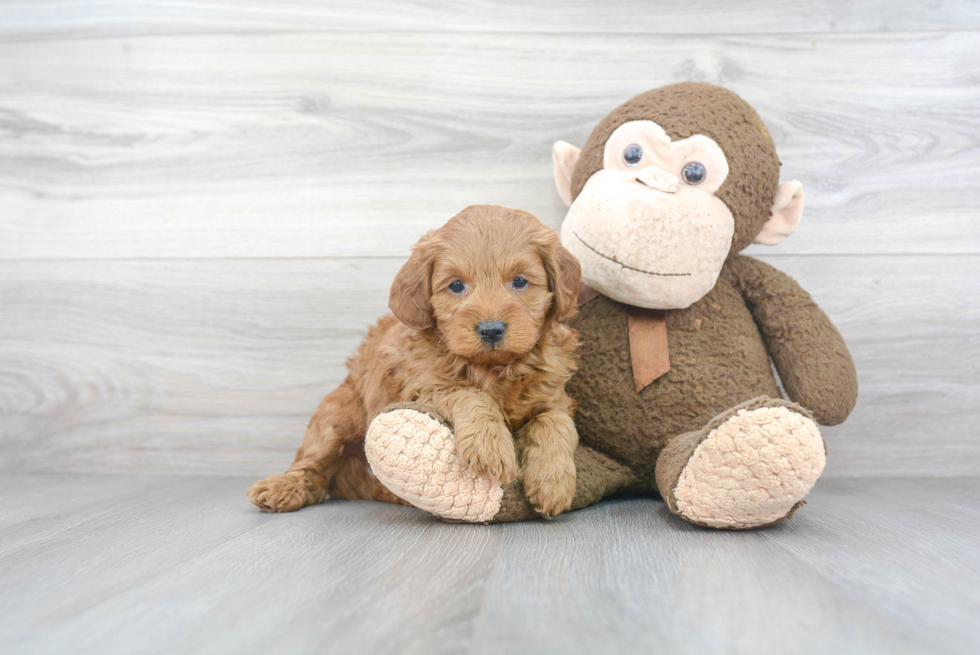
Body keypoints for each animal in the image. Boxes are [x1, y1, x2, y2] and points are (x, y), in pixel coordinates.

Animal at [249, 204, 580, 516]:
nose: (491, 329)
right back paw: (282, 488)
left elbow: (556, 422)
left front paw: (554, 483)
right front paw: (490, 448)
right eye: (456, 285)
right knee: (313, 466)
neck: (493, 368)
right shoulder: (423, 387)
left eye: (520, 281)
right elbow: (471, 395)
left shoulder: (553, 397)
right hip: (336, 415)